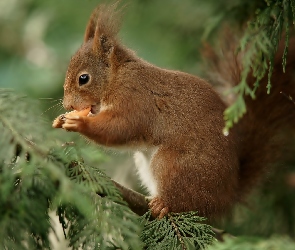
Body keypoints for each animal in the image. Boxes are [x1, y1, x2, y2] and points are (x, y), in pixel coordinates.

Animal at [52, 3, 295, 219]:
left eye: (84, 78)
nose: (68, 105)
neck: (116, 77)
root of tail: (228, 194)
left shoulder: (135, 100)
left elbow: (120, 128)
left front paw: (78, 123)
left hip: (173, 165)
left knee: (187, 202)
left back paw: (164, 204)